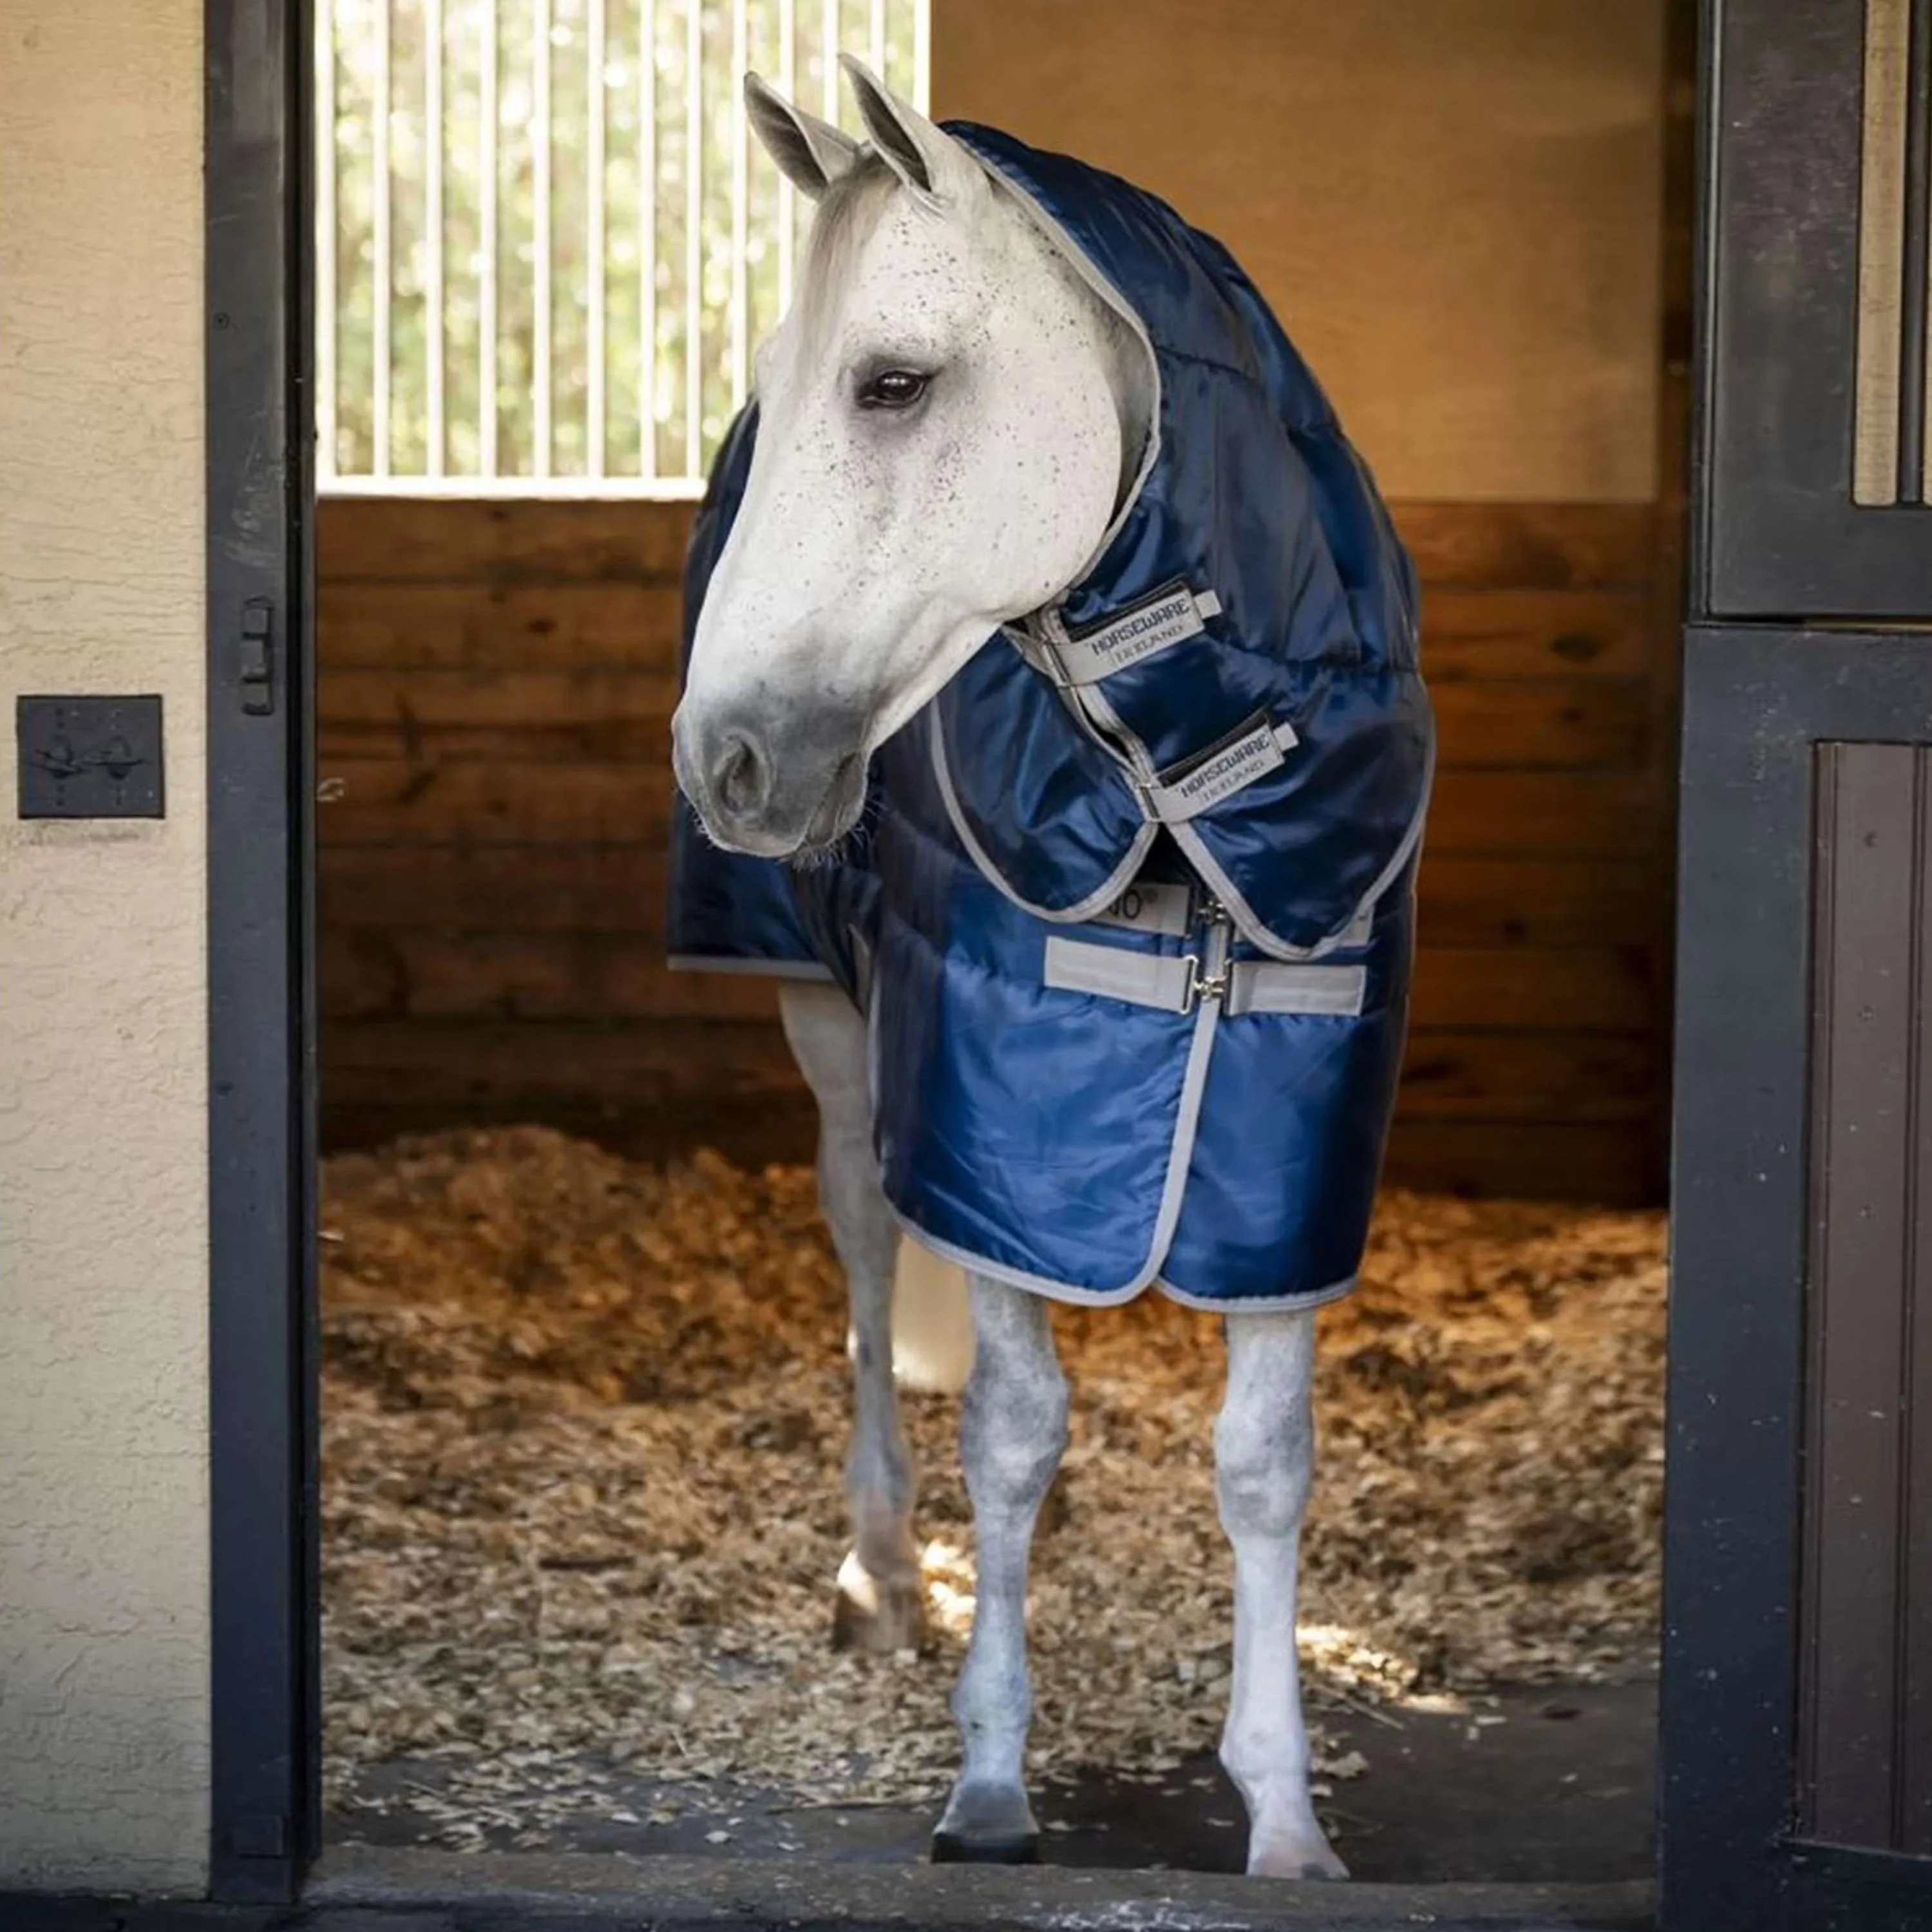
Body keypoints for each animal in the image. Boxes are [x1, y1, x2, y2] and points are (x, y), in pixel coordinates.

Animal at [670, 57, 1431, 1882]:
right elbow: (1008, 1431)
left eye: (891, 383)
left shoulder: (1290, 1161)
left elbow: (1264, 1463)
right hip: (839, 1030)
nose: (722, 759)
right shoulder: (986, 1134)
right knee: (869, 1252)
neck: (1180, 791)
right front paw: (993, 1780)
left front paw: (1284, 1813)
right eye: (780, 393)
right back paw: (884, 1565)